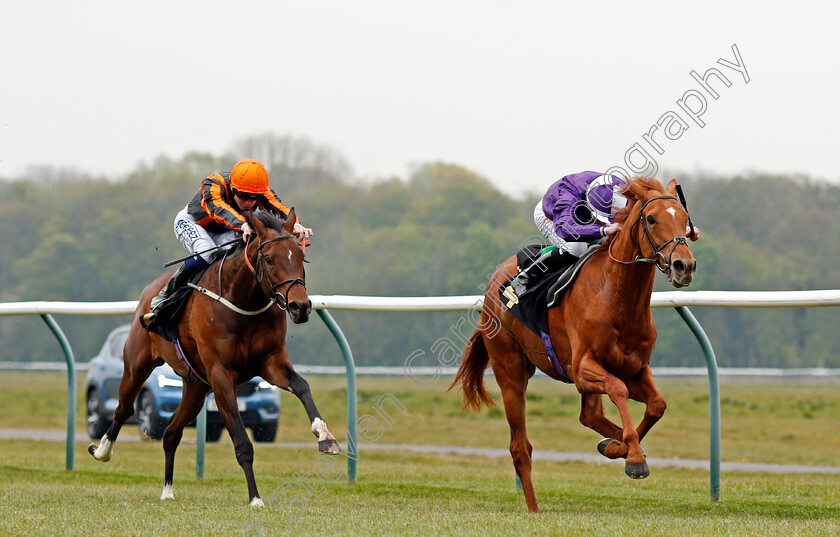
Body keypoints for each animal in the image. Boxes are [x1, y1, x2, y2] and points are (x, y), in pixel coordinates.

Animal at [88, 207, 342, 504]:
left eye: (301, 257)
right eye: (268, 259)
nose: (300, 307)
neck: (244, 301)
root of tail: (149, 291)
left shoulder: (271, 363)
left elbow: (302, 386)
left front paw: (325, 436)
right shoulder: (222, 376)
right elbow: (243, 443)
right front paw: (255, 498)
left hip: (196, 386)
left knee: (171, 432)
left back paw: (167, 490)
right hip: (137, 364)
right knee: (124, 408)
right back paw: (102, 451)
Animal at [452, 177, 696, 510]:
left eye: (685, 219)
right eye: (651, 218)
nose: (684, 265)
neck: (616, 297)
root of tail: (493, 285)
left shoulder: (634, 368)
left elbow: (657, 405)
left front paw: (619, 447)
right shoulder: (583, 368)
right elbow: (618, 391)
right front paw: (633, 457)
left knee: (589, 415)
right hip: (509, 369)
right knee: (520, 446)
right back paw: (533, 508)